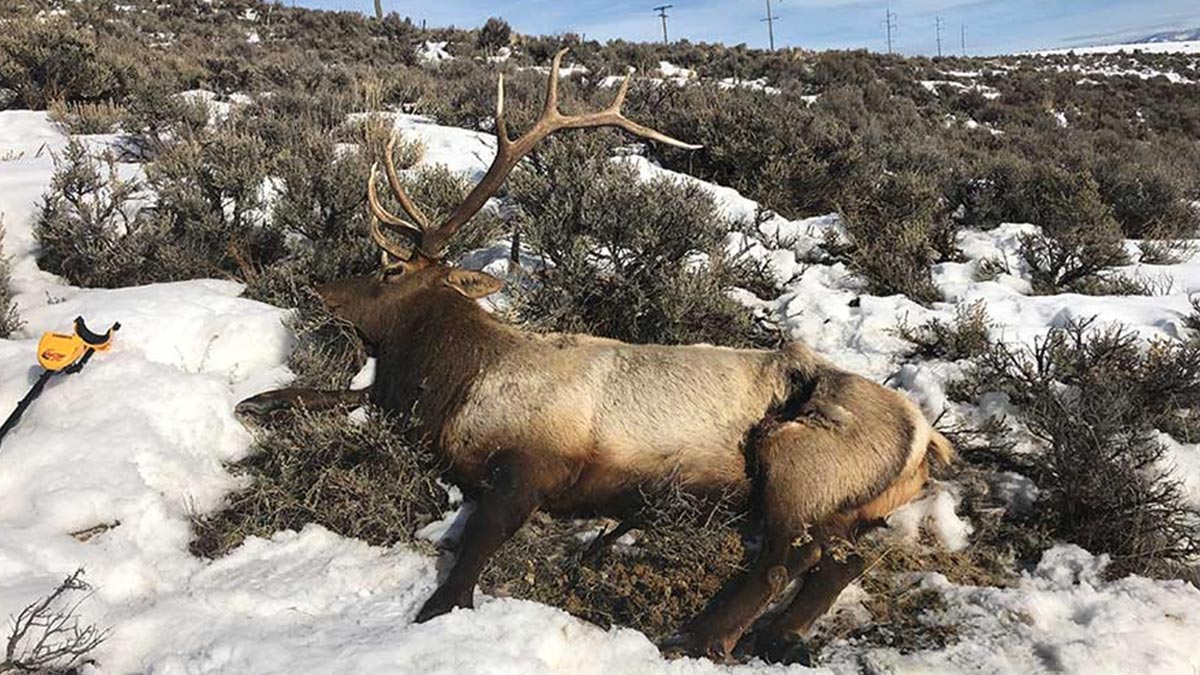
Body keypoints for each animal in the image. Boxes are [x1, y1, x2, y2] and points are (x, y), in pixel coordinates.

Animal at [235, 50, 955, 665]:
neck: (453, 384)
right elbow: (330, 393)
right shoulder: (400, 404)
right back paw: (777, 634)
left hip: (798, 457)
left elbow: (472, 554)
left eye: (389, 268)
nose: (319, 289)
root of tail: (928, 439)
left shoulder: (536, 462)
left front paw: (438, 610)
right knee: (841, 560)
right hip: (848, 504)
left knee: (786, 559)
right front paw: (254, 400)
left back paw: (700, 636)